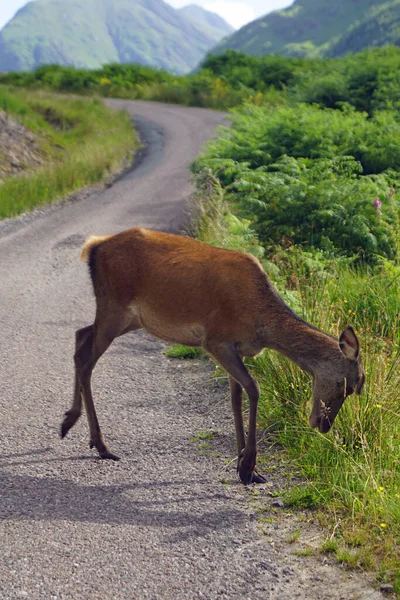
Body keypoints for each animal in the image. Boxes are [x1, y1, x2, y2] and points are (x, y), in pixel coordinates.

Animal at [60, 227, 366, 486]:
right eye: (346, 385)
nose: (323, 425)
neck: (261, 322)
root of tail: (94, 246)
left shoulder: (237, 349)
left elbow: (236, 398)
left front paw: (248, 466)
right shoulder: (216, 341)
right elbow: (254, 389)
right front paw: (247, 466)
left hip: (129, 318)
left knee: (80, 335)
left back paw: (70, 422)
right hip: (115, 307)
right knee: (86, 359)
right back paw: (100, 444)